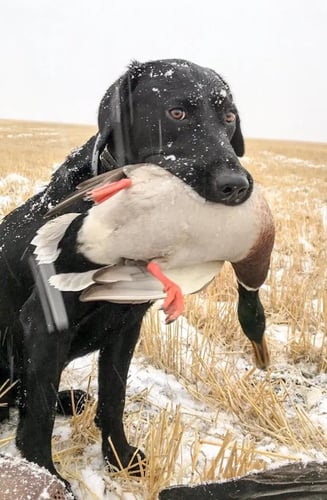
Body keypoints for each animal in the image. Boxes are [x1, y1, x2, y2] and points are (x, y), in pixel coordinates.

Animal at [0, 59, 272, 488]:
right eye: (176, 113)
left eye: (229, 118)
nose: (237, 186)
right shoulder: (42, 323)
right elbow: (38, 416)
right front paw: (46, 476)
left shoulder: (126, 326)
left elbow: (114, 397)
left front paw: (119, 457)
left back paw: (69, 398)